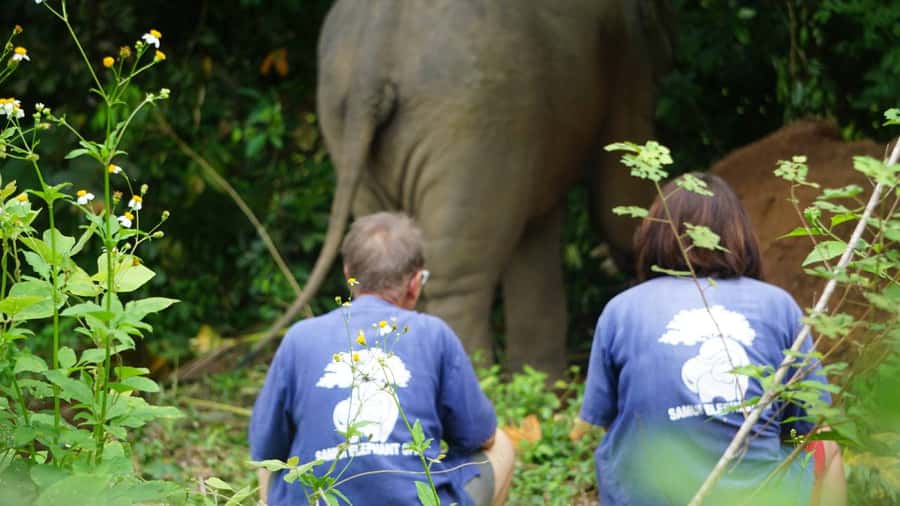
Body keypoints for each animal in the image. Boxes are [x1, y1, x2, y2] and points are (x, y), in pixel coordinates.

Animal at [254, 0, 675, 378]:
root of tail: (373, 56)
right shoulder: (629, 54)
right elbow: (620, 188)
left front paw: (541, 384)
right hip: (472, 123)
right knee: (457, 275)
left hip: (344, 118)